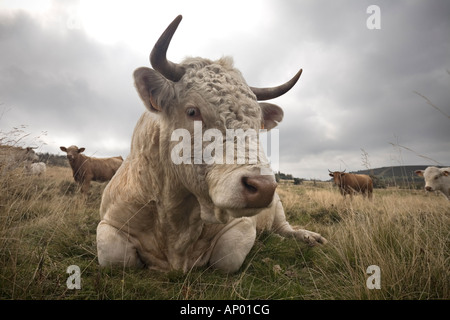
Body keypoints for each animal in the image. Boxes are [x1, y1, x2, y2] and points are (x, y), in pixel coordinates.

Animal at [96, 15, 326, 274]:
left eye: (257, 123)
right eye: (192, 111)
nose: (264, 186)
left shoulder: (242, 225)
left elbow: (226, 258)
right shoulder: (108, 223)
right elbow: (116, 258)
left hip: (277, 208)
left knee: (285, 229)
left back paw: (306, 237)